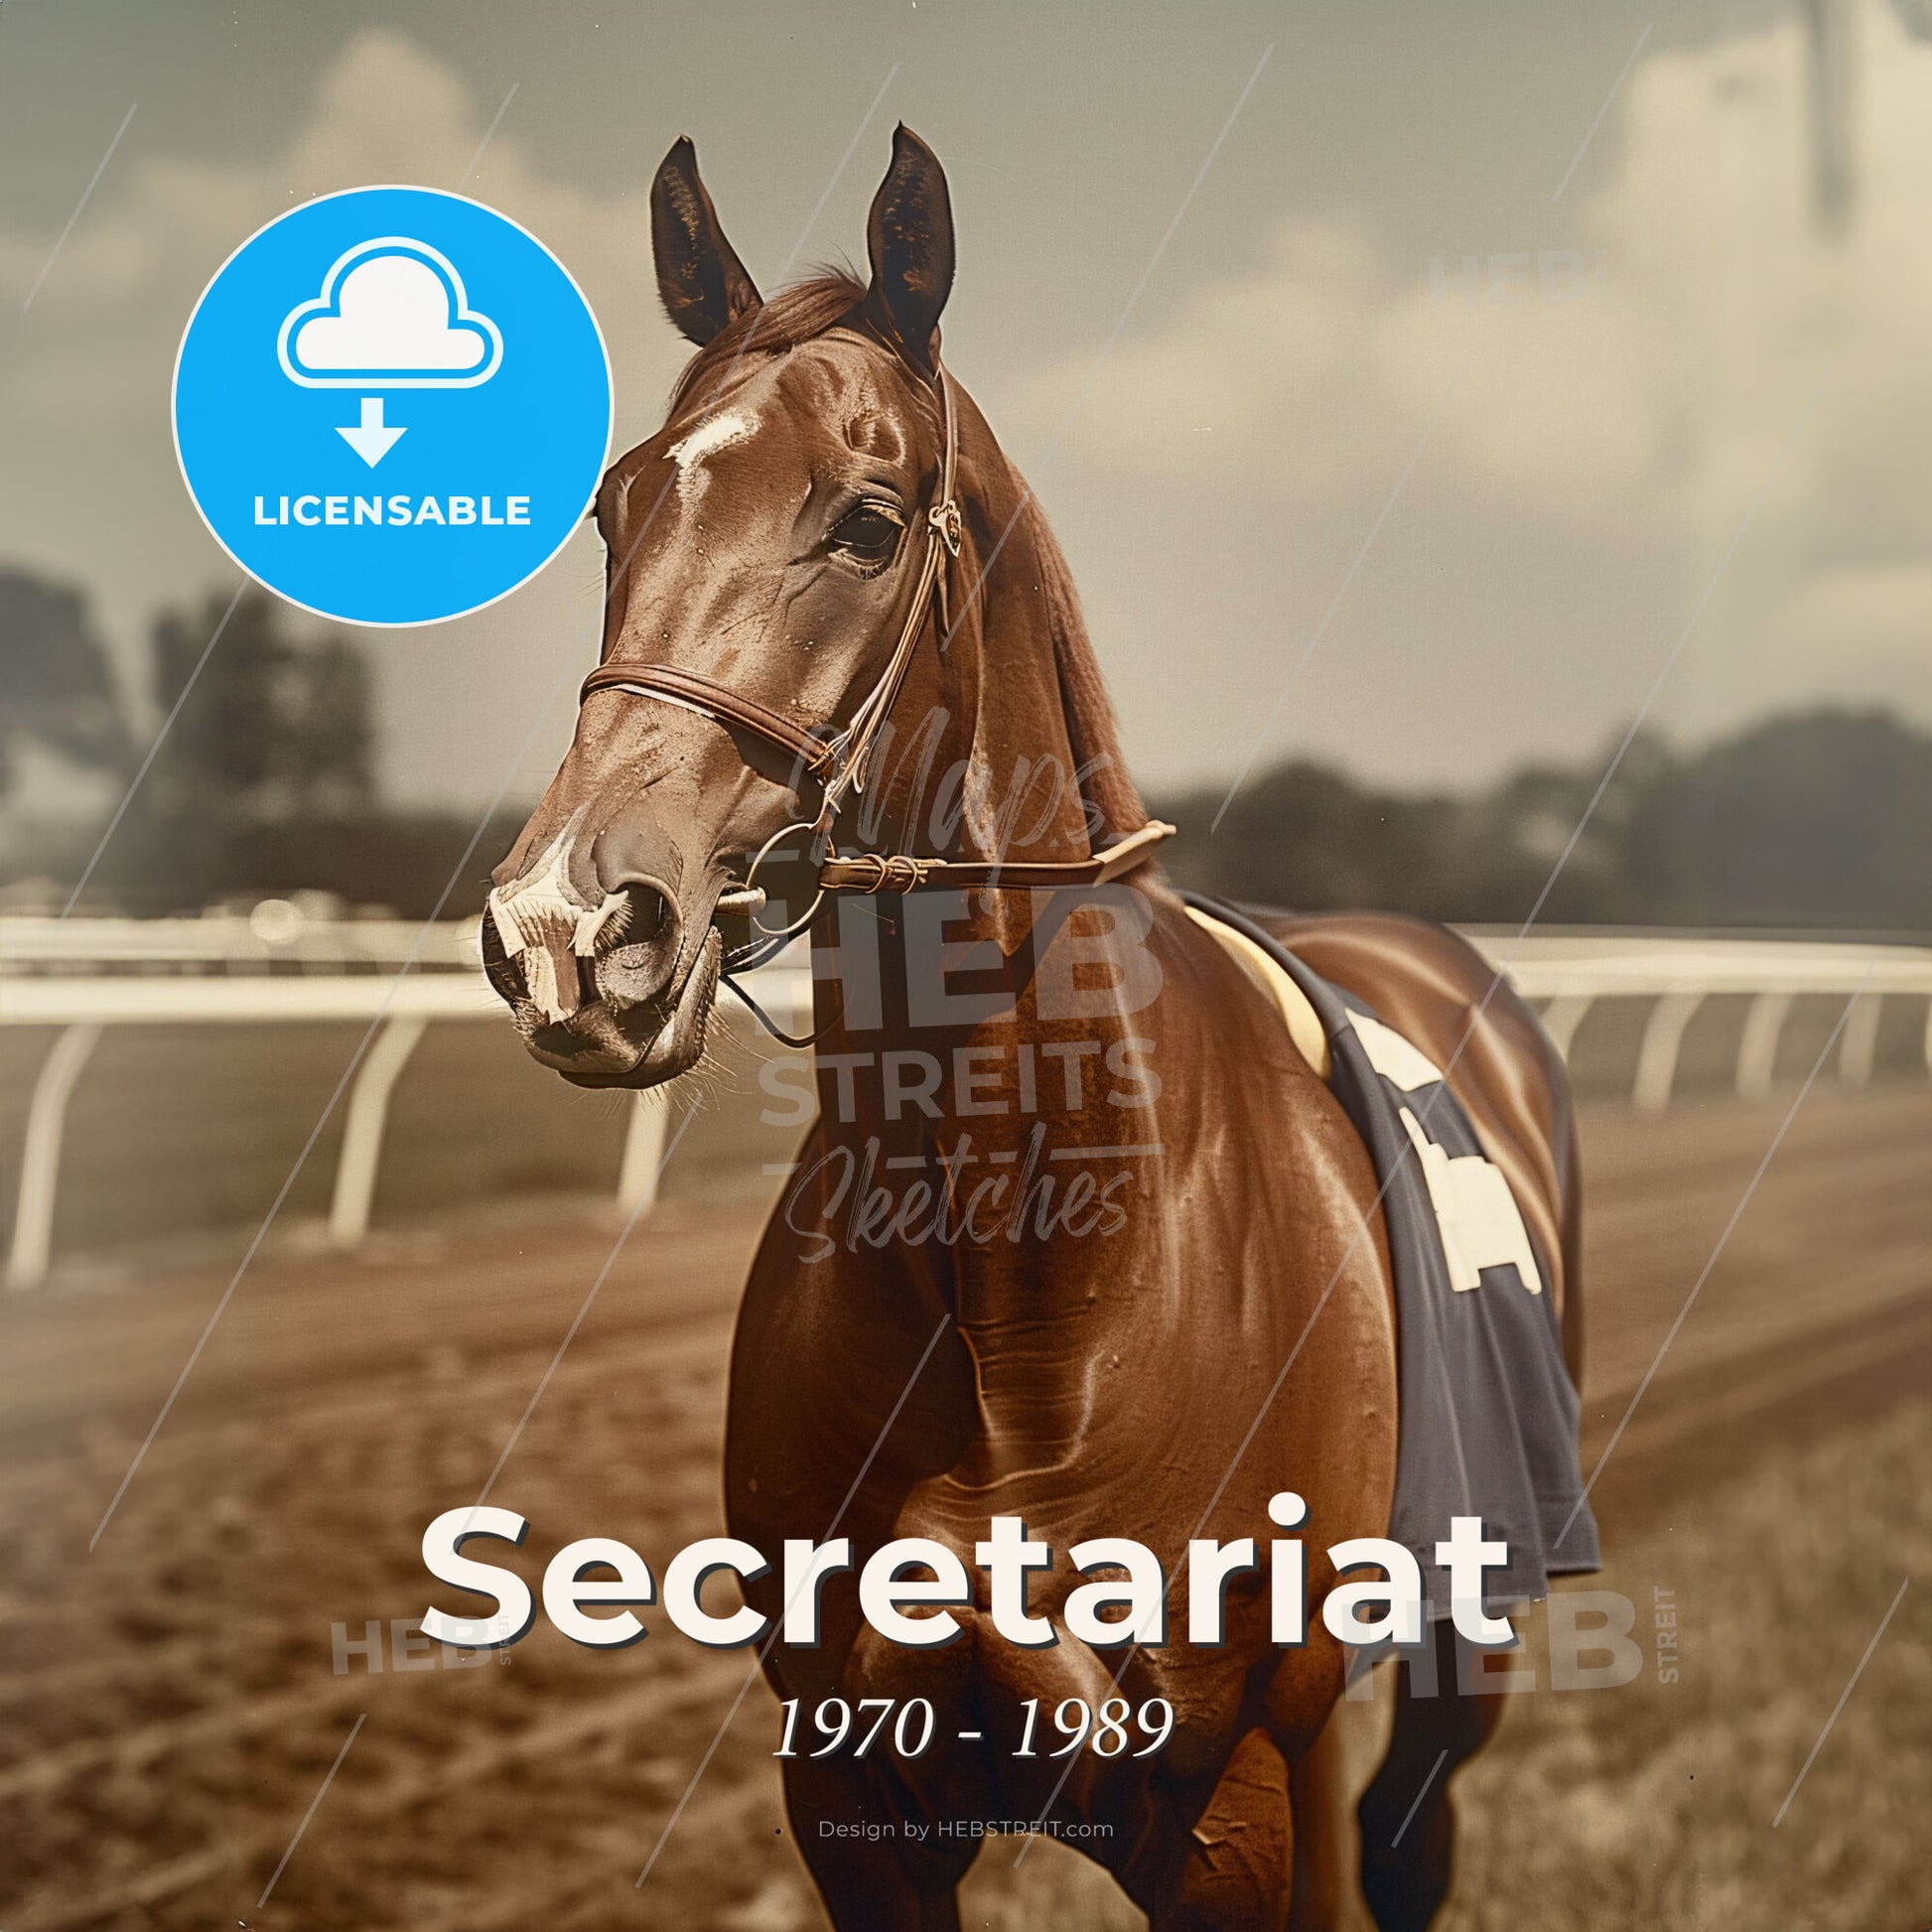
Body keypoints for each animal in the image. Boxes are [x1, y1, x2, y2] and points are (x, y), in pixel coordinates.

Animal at [484, 127, 1584, 1931]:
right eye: (614, 504)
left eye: (865, 524)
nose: (572, 926)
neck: (1018, 1262)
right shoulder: (849, 1793)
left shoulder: (1226, 1794)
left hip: (1458, 1643)